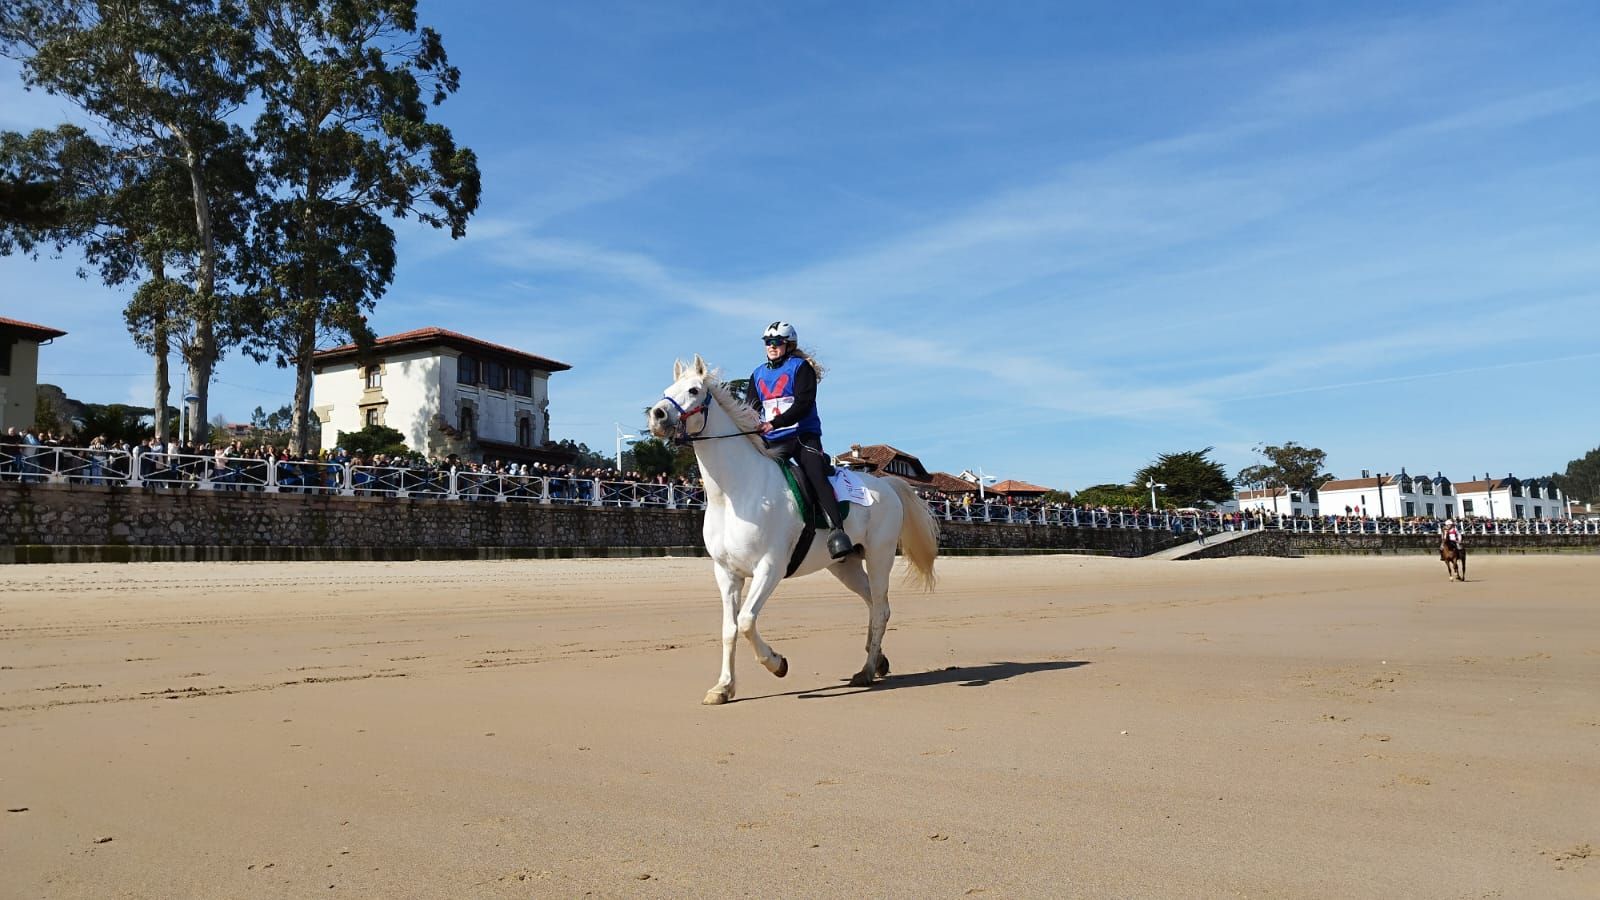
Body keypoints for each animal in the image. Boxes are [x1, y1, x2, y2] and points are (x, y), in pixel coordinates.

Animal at [646, 355, 934, 701]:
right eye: (667, 390)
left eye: (693, 390)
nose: (657, 415)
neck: (733, 493)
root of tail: (888, 484)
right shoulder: (726, 573)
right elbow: (730, 628)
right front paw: (723, 687)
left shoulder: (770, 567)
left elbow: (746, 621)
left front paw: (777, 663)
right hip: (846, 565)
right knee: (876, 604)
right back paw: (877, 661)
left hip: (880, 557)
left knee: (879, 609)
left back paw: (865, 671)